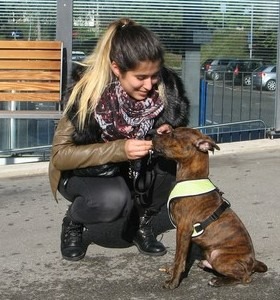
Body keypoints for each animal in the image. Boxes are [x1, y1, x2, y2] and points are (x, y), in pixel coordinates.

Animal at [152, 127, 268, 290]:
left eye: (173, 135)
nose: (152, 134)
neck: (192, 178)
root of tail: (253, 262)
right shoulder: (186, 234)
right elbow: (183, 258)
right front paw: (173, 270)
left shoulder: (183, 229)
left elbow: (179, 257)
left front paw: (173, 281)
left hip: (219, 257)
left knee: (244, 277)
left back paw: (218, 281)